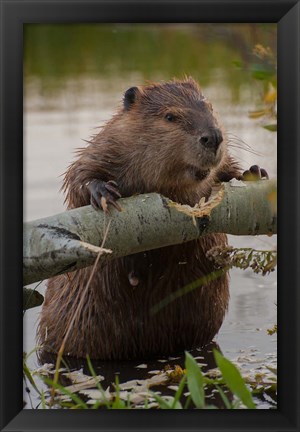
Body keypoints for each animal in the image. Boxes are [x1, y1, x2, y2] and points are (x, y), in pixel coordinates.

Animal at [37, 76, 268, 360]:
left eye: (210, 107)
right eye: (170, 116)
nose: (213, 137)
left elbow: (226, 169)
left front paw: (254, 171)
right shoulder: (107, 144)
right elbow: (79, 174)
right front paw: (103, 192)